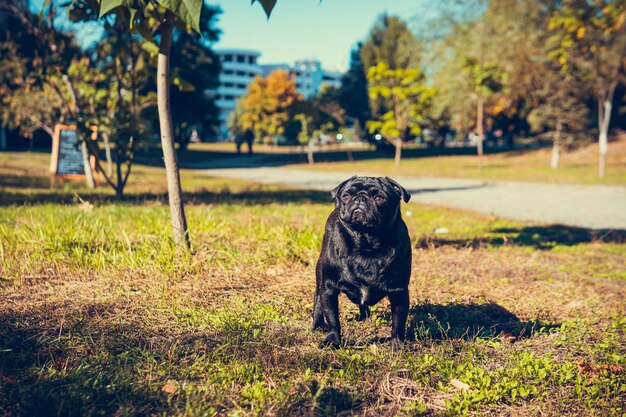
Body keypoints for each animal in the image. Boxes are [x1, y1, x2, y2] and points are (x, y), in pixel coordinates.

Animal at [310, 174, 410, 346]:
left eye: (379, 198)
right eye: (346, 196)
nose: (360, 198)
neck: (366, 244)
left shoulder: (399, 292)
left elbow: (398, 322)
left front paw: (397, 344)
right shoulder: (329, 288)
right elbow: (333, 319)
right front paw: (333, 340)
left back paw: (364, 316)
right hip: (320, 276)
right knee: (317, 297)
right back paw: (318, 325)